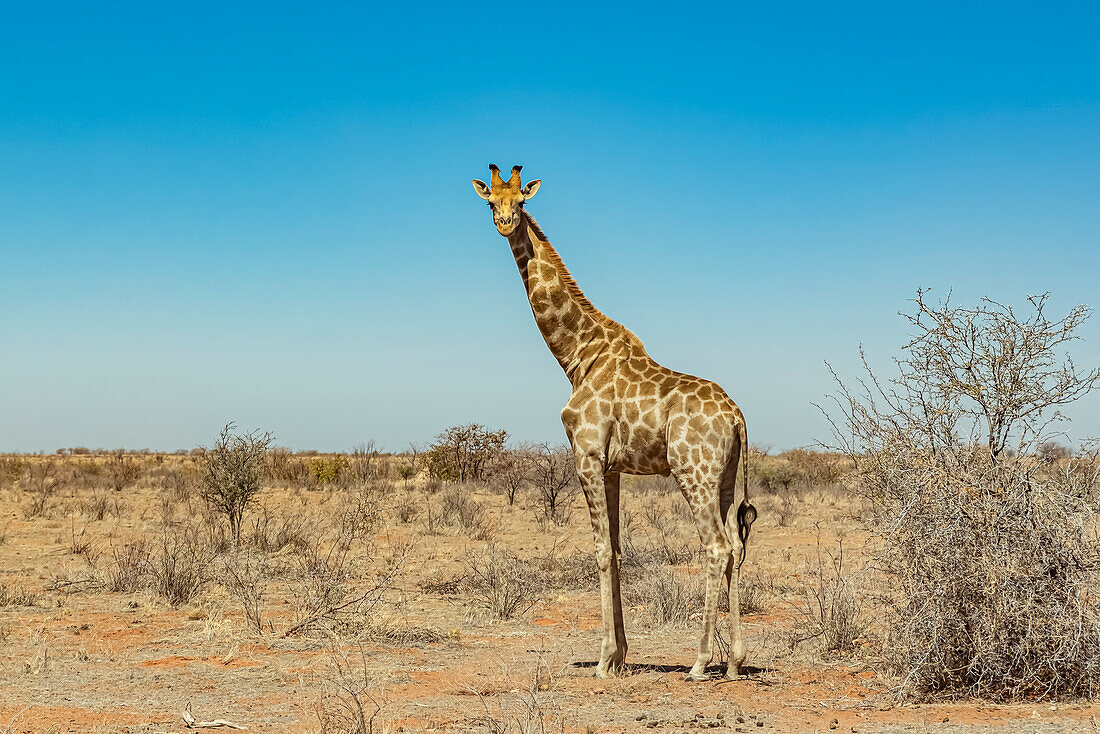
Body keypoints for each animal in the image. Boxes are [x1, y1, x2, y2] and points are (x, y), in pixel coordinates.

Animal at [468, 163, 761, 682]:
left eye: (520, 201)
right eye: (490, 201)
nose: (504, 222)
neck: (577, 355)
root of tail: (738, 415)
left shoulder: (585, 454)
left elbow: (602, 550)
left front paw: (605, 659)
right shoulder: (612, 467)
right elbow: (619, 549)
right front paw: (621, 653)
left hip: (693, 473)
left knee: (716, 547)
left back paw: (700, 662)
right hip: (725, 478)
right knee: (736, 547)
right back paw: (734, 661)